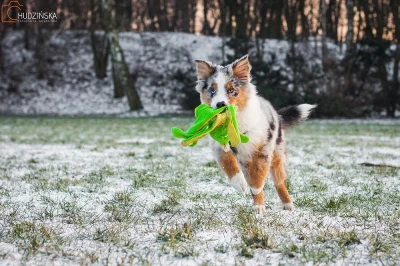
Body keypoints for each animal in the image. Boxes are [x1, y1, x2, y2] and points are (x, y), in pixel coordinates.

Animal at [195, 55, 318, 213]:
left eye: (231, 90)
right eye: (212, 91)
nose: (220, 104)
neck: (234, 123)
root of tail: (277, 115)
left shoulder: (263, 148)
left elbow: (258, 177)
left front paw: (256, 192)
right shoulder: (219, 146)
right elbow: (228, 163)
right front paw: (240, 184)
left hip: (277, 153)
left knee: (279, 181)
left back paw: (287, 204)